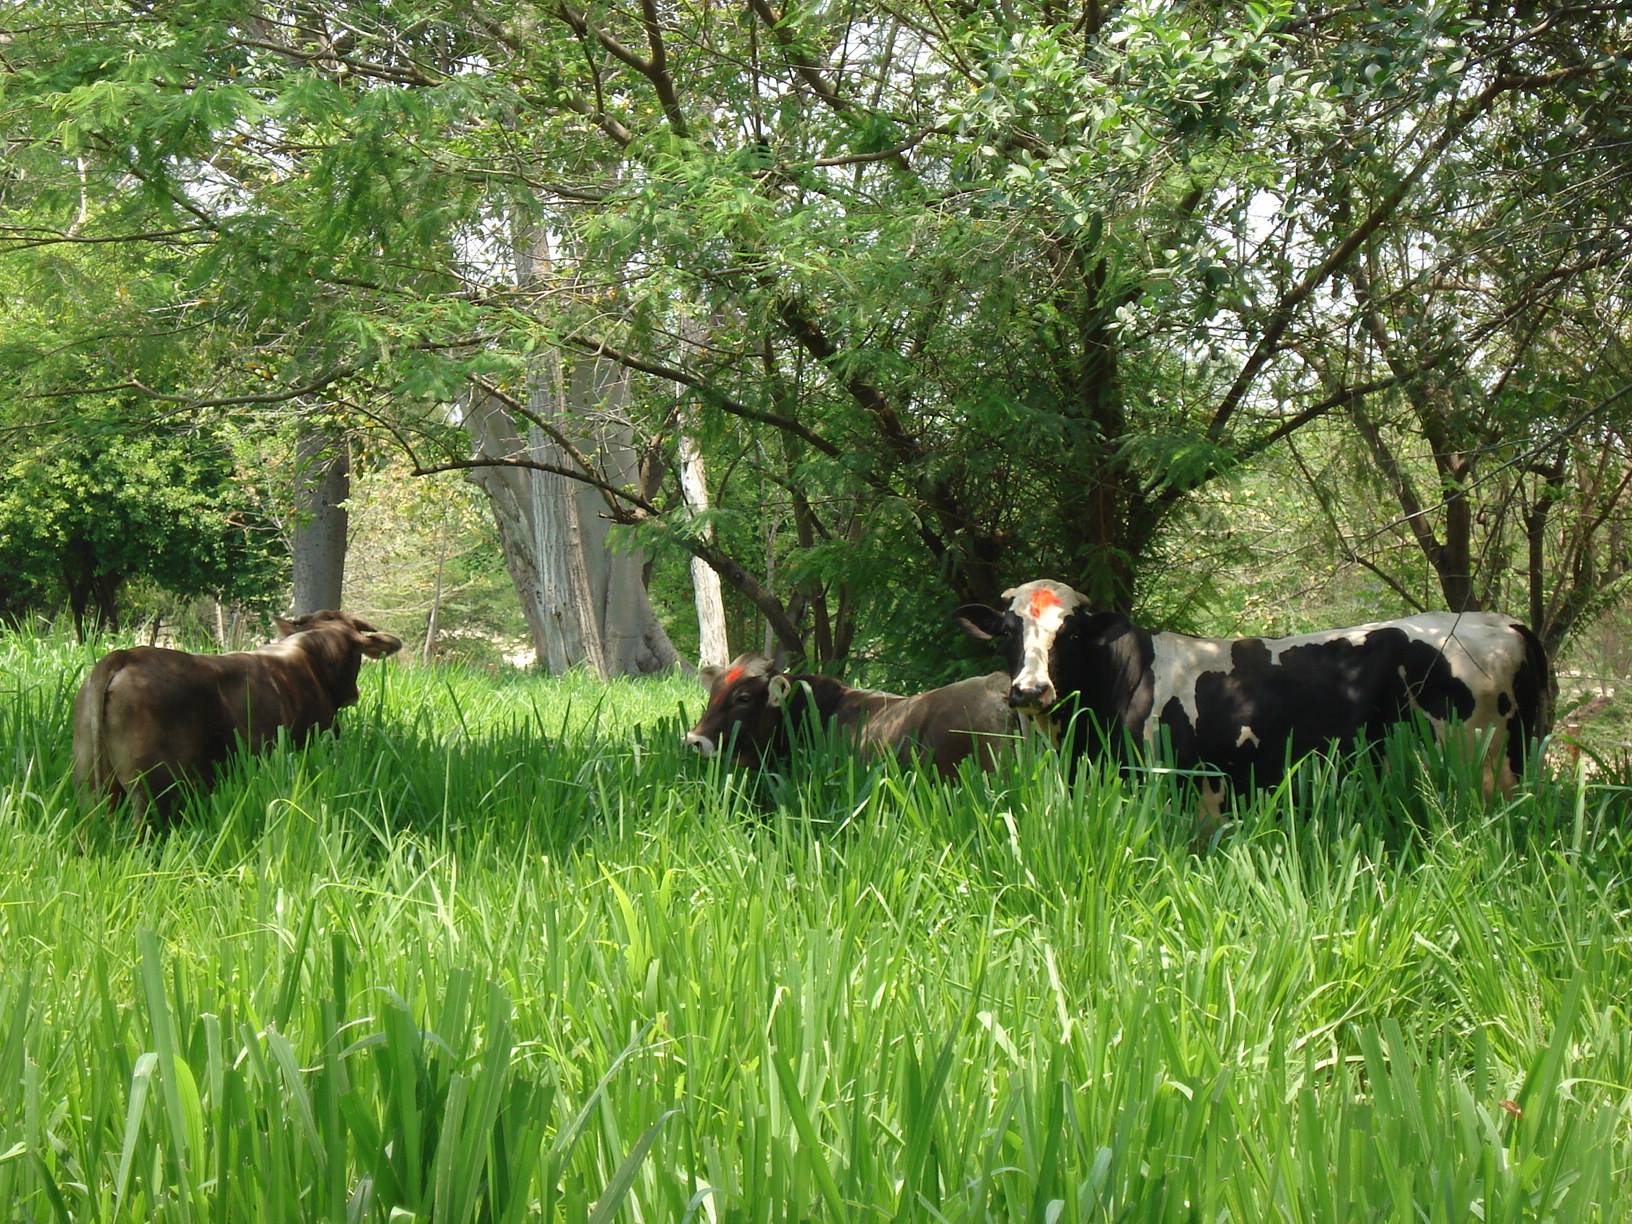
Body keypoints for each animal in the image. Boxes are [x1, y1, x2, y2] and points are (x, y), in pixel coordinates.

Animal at [953, 580, 1553, 842]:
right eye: (1009, 631)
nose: (1031, 689)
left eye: (1071, 633)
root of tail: (1502, 621)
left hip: (1477, 771)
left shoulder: (1184, 795)